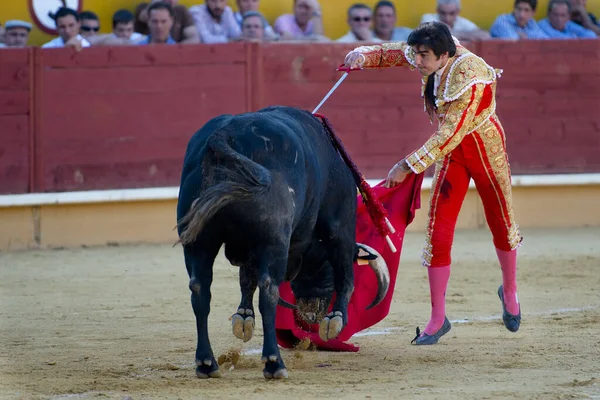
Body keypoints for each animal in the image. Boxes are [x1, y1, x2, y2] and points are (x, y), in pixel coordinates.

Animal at [175, 104, 390, 380]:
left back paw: (206, 363)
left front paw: (243, 317)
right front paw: (335, 321)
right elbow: (346, 276)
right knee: (269, 291)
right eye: (325, 271)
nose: (311, 314)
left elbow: (246, 278)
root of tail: (226, 134)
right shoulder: (339, 226)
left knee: (200, 290)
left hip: (198, 241)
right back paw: (273, 363)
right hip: (273, 240)